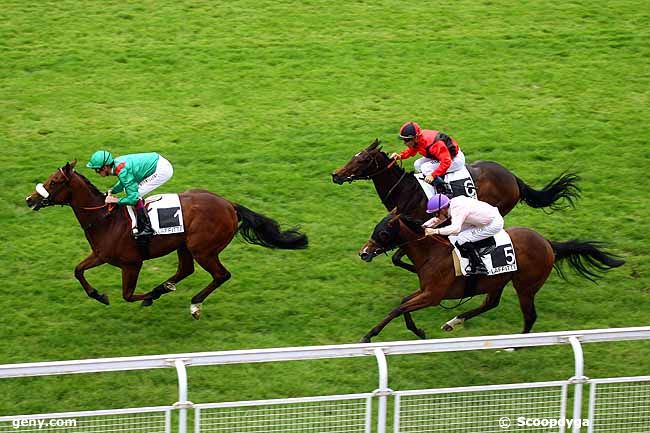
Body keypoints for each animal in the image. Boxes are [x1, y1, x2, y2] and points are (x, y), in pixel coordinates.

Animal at [26, 160, 308, 318]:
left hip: (203, 249)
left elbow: (127, 295)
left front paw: (149, 296)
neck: (106, 219)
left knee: (221, 275)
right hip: (184, 246)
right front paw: (99, 295)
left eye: (54, 181)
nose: (30, 199)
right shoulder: (101, 255)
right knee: (186, 270)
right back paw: (166, 287)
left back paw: (193, 303)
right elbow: (78, 270)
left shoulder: (132, 263)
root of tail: (230, 205)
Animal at [332, 138, 580, 272]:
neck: (406, 190)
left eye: (363, 159)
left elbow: (397, 257)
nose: (336, 175)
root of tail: (512, 177)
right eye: (354, 155)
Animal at [354, 213, 624, 340]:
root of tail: (548, 243)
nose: (364, 253)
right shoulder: (427, 291)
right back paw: (454, 321)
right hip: (498, 280)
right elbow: (402, 303)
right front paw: (418, 331)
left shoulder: (433, 295)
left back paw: (515, 346)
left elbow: (397, 309)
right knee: (490, 303)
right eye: (376, 229)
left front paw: (369, 335)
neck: (432, 253)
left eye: (384, 232)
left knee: (529, 316)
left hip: (525, 286)